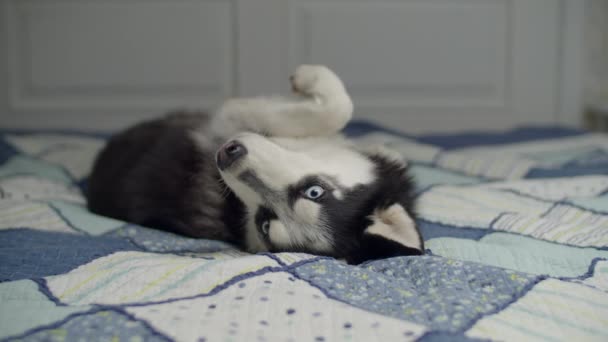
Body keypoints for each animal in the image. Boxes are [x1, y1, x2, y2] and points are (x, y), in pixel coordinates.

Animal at [86, 64, 422, 264]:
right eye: (314, 191)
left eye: (265, 222)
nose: (227, 154)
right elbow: (342, 110)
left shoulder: (228, 122)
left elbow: (335, 109)